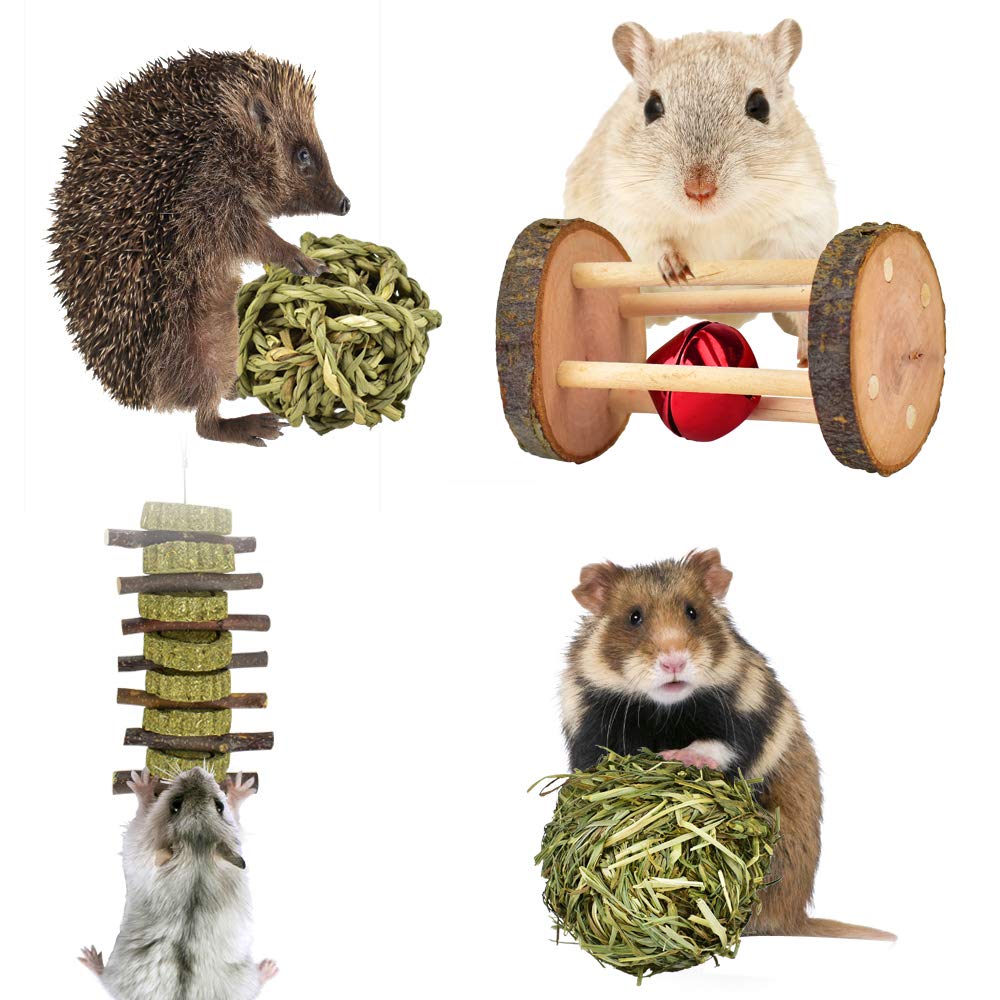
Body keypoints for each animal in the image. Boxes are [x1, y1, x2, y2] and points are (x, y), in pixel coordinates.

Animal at [79, 767, 278, 999]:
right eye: (175, 805)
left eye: (219, 806)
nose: (197, 770)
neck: (197, 855)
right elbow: (235, 819)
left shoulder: (138, 845)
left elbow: (141, 815)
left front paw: (142, 783)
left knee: (103, 978)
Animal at [561, 550, 893, 940]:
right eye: (634, 617)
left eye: (693, 612)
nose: (674, 661)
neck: (665, 709)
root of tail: (795, 918)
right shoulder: (588, 724)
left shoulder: (750, 714)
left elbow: (720, 745)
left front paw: (677, 756)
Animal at [564, 20, 837, 365]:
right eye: (651, 107)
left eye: (759, 106)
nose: (699, 190)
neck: (712, 219)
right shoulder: (626, 215)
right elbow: (652, 244)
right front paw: (674, 268)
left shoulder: (799, 229)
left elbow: (799, 293)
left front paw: (805, 356)